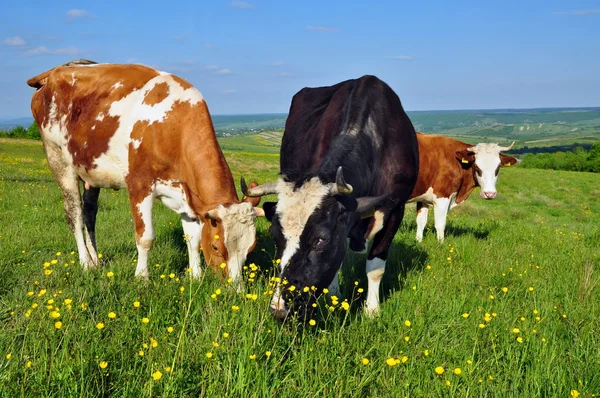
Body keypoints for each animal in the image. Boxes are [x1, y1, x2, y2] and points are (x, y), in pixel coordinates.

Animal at [27, 59, 262, 284]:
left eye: (250, 249)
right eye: (215, 247)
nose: (235, 290)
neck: (172, 128)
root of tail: (54, 72)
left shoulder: (186, 195)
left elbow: (193, 239)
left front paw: (195, 277)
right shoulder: (140, 185)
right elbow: (145, 237)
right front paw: (142, 278)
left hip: (91, 172)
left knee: (89, 214)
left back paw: (96, 261)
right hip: (58, 159)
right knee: (74, 214)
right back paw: (85, 263)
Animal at [241, 75, 420, 320]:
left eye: (321, 239)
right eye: (274, 235)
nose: (280, 309)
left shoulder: (396, 209)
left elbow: (375, 266)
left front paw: (372, 310)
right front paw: (334, 296)